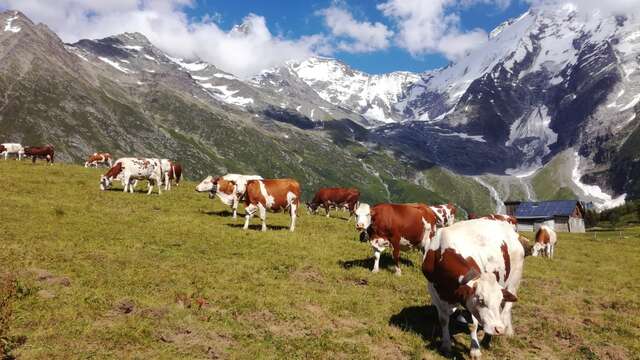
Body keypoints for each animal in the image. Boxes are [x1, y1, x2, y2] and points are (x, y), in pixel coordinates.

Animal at [422, 218, 524, 358]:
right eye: (481, 300)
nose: (499, 329)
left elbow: (473, 325)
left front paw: (475, 349)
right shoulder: (435, 292)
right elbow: (443, 320)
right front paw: (446, 346)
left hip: (514, 281)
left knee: (506, 308)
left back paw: (490, 338)